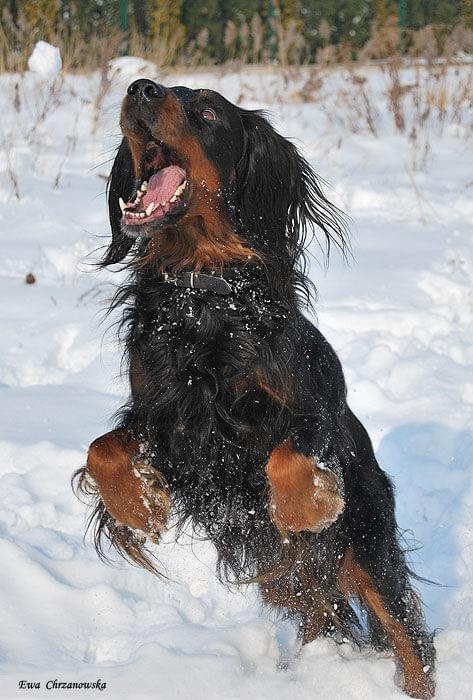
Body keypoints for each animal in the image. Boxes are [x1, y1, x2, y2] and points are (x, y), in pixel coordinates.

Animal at [74, 79, 436, 696]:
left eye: (207, 110)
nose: (139, 87)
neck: (202, 295)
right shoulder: (165, 420)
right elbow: (104, 449)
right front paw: (140, 506)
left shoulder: (309, 410)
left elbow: (289, 457)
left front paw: (305, 508)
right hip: (289, 579)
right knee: (323, 613)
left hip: (365, 543)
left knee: (406, 633)